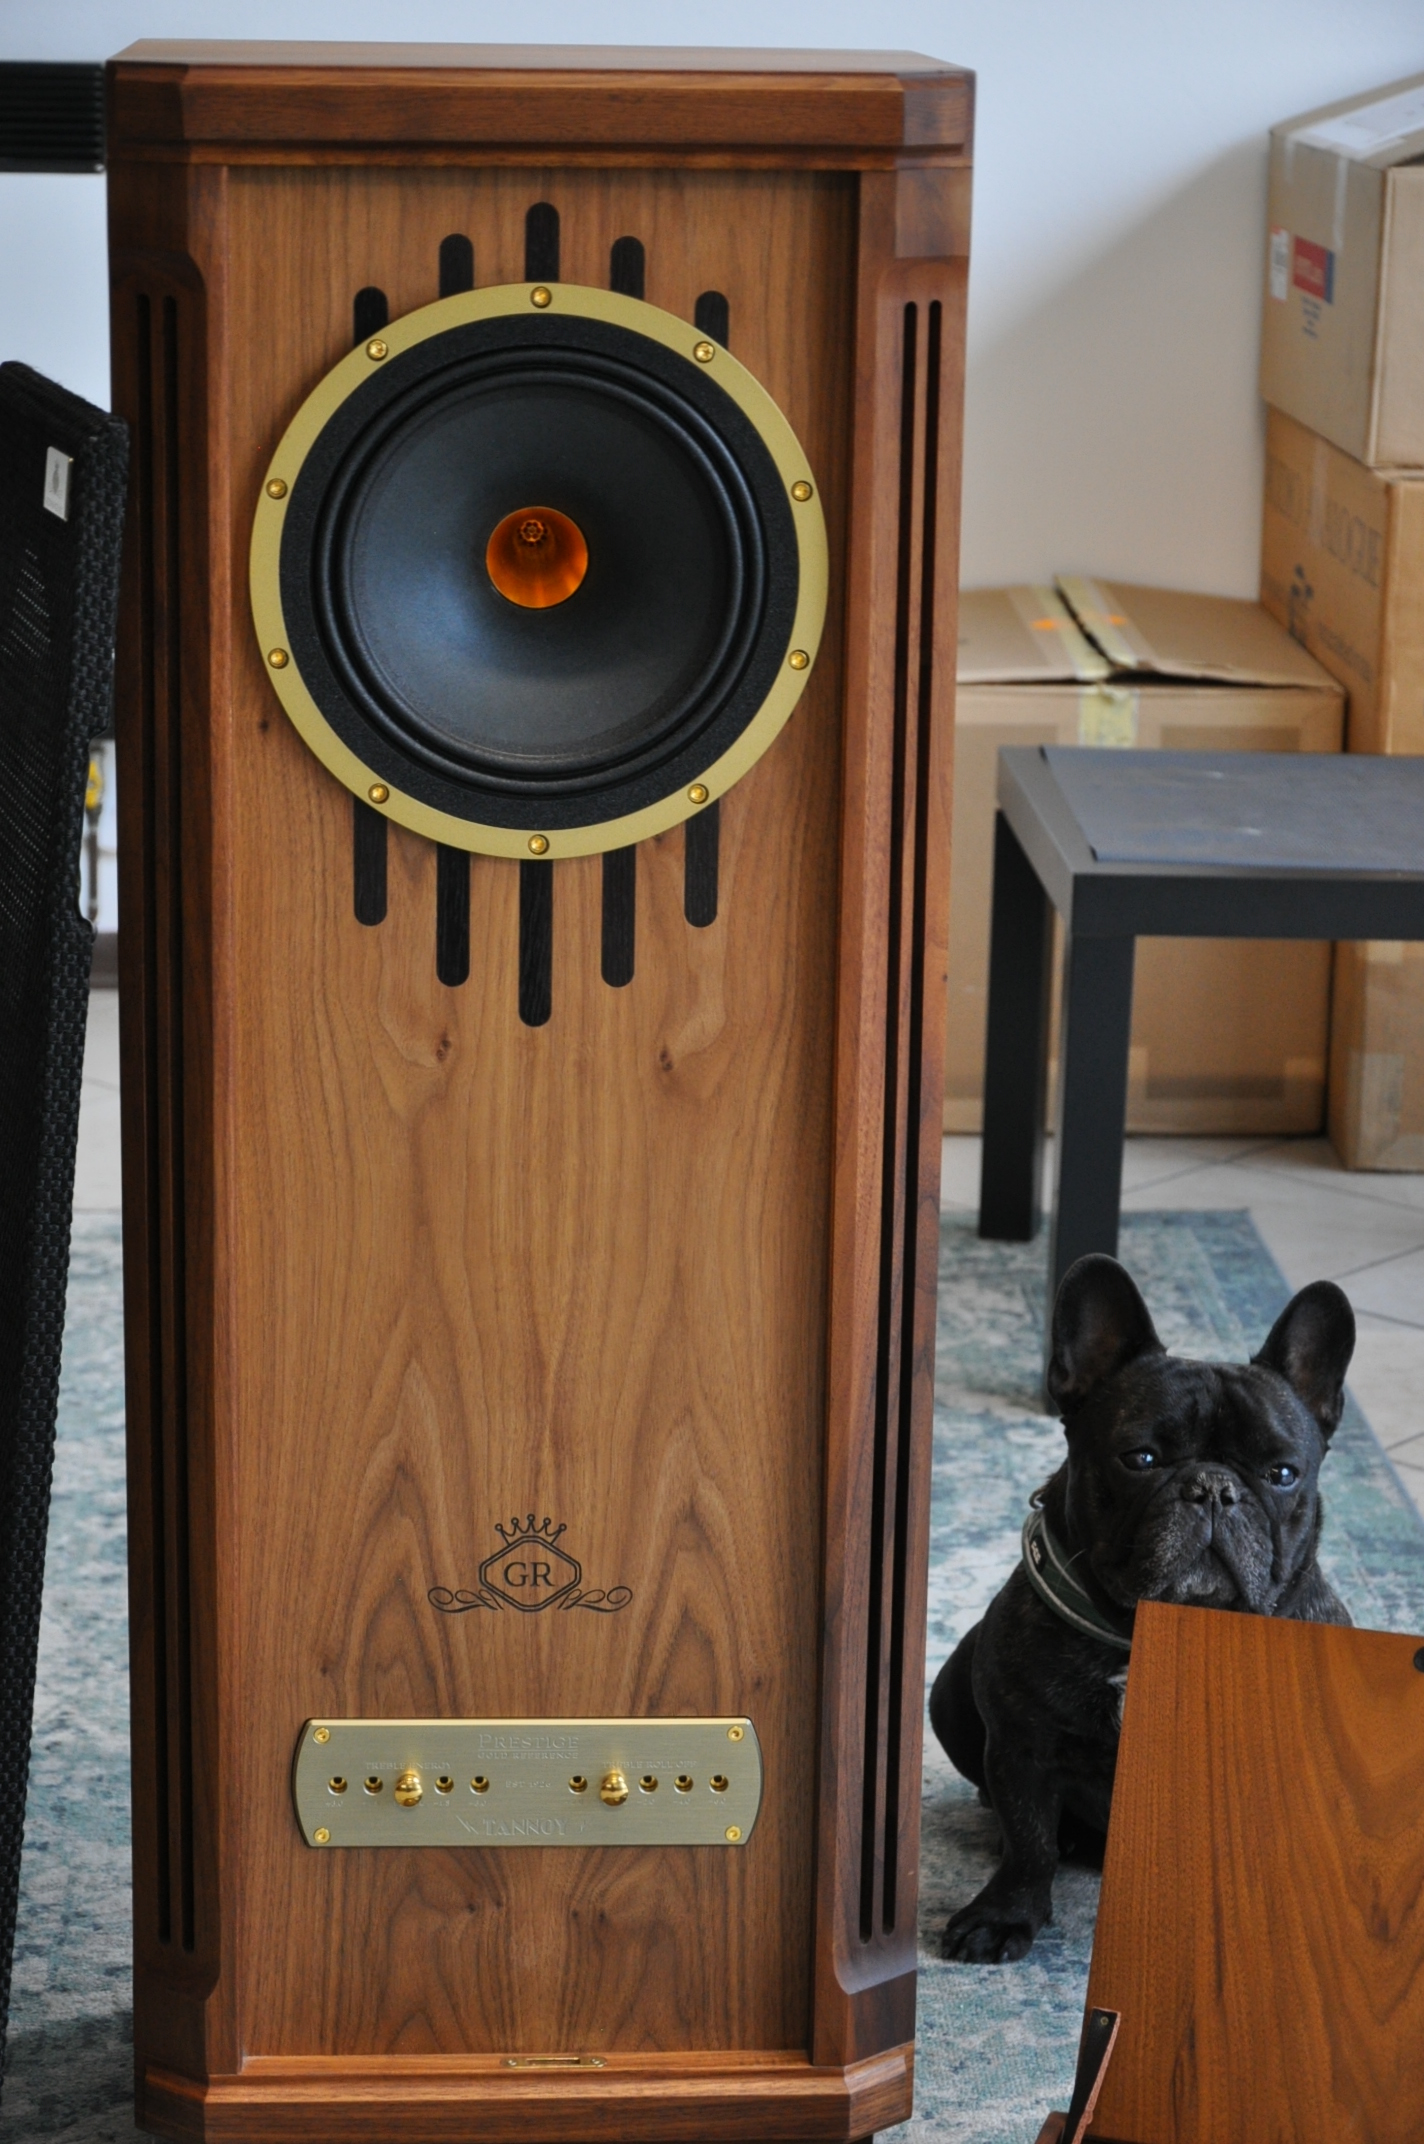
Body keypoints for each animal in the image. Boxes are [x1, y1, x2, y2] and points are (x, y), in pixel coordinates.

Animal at [930, 1252, 1354, 1964]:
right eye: (1141, 1458)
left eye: (1283, 1474)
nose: (1213, 1488)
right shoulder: (1021, 1745)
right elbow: (1028, 1842)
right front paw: (1004, 1913)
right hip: (949, 1690)